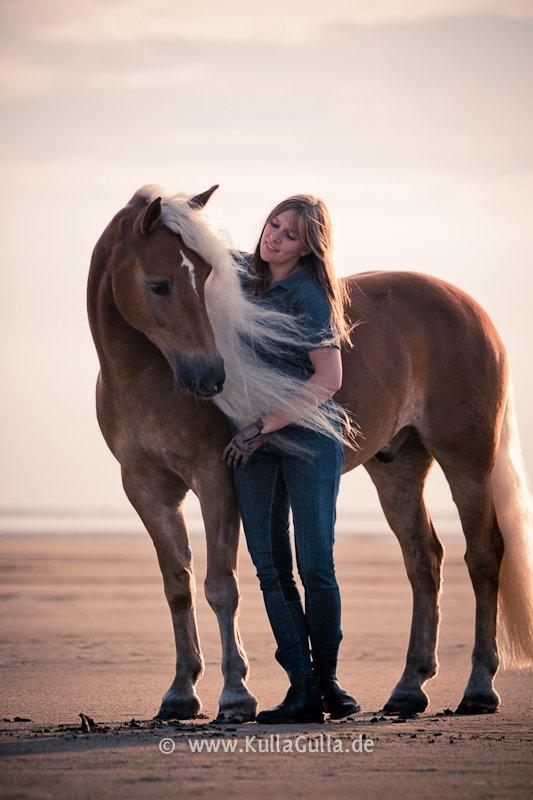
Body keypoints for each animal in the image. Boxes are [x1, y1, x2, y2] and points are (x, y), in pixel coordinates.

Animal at [88, 184, 532, 720]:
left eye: (205, 276)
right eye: (159, 284)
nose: (211, 376)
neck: (142, 378)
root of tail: (471, 309)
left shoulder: (217, 481)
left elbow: (220, 586)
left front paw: (235, 694)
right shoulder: (146, 491)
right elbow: (178, 584)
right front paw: (180, 692)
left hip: (467, 461)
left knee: (484, 556)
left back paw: (479, 687)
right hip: (399, 469)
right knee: (423, 559)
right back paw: (409, 687)